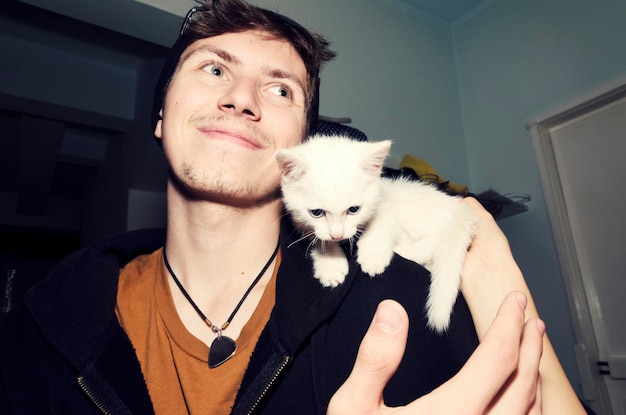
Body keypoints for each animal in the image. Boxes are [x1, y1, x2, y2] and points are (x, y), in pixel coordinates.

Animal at [276, 135, 476, 334]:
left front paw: (373, 256)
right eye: (316, 212)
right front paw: (330, 262)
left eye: (354, 209)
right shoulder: (300, 220)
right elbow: (317, 237)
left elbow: (380, 223)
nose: (338, 235)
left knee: (439, 237)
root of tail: (461, 209)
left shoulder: (386, 203)